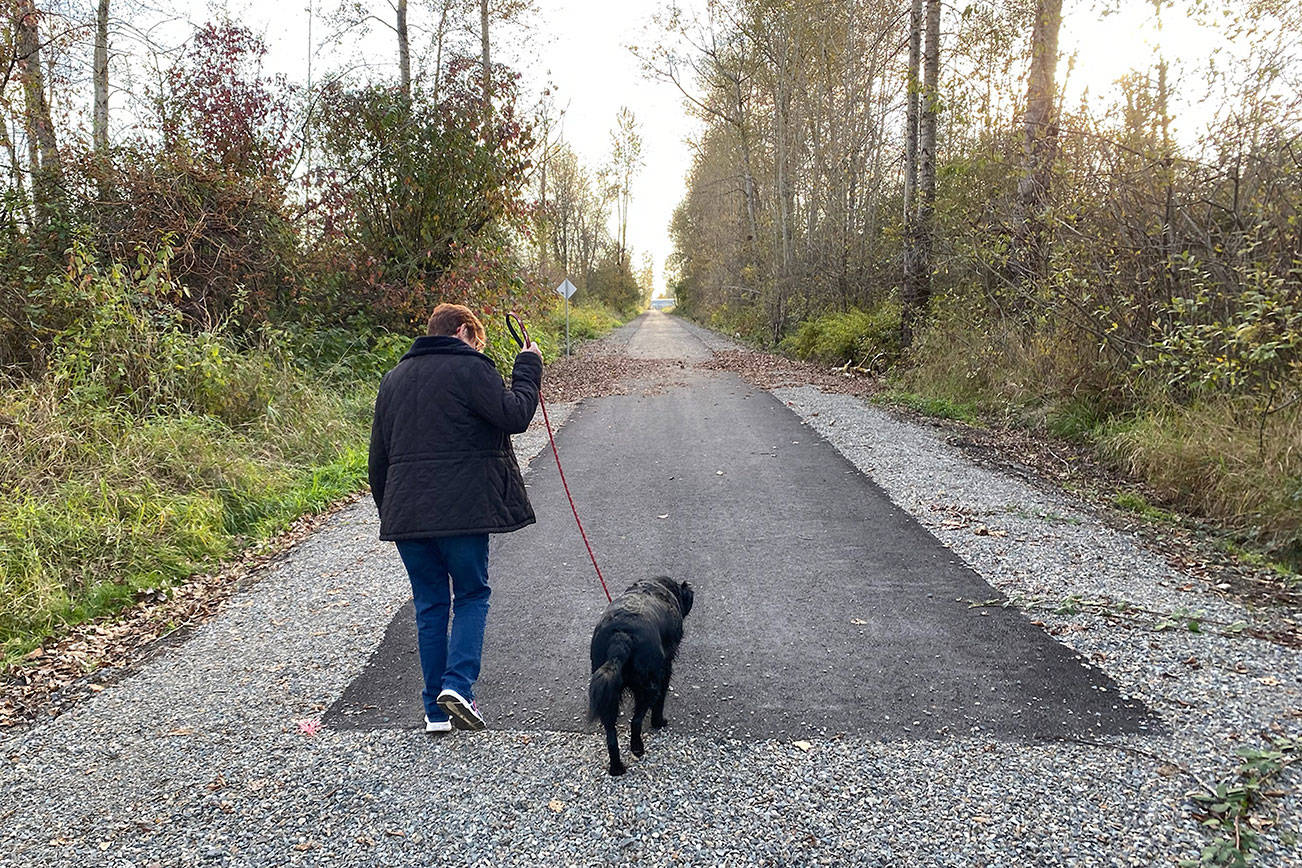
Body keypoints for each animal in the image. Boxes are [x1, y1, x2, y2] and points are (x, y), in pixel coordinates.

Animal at [588, 577, 692, 775]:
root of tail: (621, 637)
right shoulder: (666, 668)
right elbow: (661, 701)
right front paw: (659, 722)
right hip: (649, 687)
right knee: (636, 721)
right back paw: (638, 749)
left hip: (608, 691)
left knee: (611, 734)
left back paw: (617, 768)